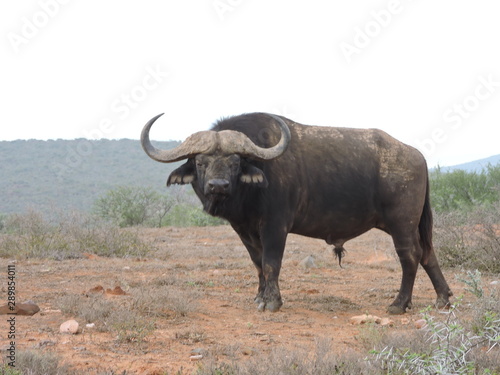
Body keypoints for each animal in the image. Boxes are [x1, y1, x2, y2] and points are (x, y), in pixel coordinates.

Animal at [141, 114, 454, 314]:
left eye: (235, 161)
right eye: (200, 162)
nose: (218, 186)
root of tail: (417, 155)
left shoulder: (275, 226)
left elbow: (271, 263)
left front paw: (272, 302)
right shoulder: (244, 230)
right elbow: (257, 263)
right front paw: (259, 296)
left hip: (401, 224)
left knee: (410, 257)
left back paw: (399, 304)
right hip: (411, 225)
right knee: (428, 254)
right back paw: (443, 299)